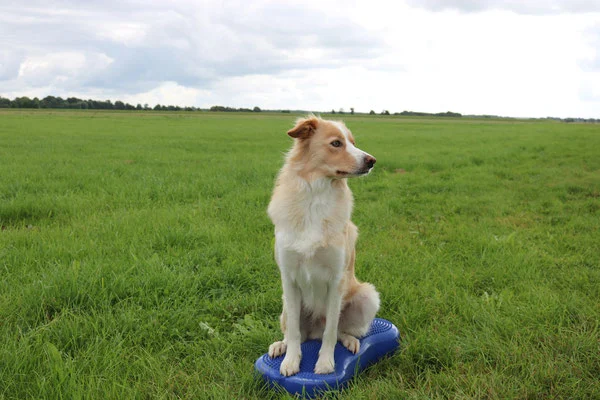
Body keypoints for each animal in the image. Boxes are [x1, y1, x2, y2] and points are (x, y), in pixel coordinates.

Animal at [268, 115, 380, 376]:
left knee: (337, 330)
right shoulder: (289, 278)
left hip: (367, 296)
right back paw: (280, 346)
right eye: (336, 143)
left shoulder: (336, 280)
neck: (315, 197)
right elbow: (295, 332)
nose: (371, 161)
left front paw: (325, 363)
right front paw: (291, 361)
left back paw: (350, 340)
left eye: (352, 142)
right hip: (286, 304)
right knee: (295, 333)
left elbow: (331, 330)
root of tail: (314, 332)